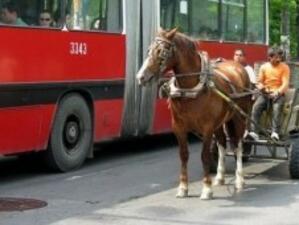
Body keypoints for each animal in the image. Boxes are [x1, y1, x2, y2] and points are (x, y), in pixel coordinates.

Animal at [137, 27, 252, 199]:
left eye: (162, 52)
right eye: (149, 50)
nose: (141, 77)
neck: (191, 89)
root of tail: (238, 66)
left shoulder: (207, 128)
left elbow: (204, 156)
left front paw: (206, 189)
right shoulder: (179, 127)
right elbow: (183, 154)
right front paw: (183, 188)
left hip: (239, 117)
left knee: (238, 145)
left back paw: (239, 180)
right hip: (220, 122)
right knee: (222, 143)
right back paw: (220, 177)